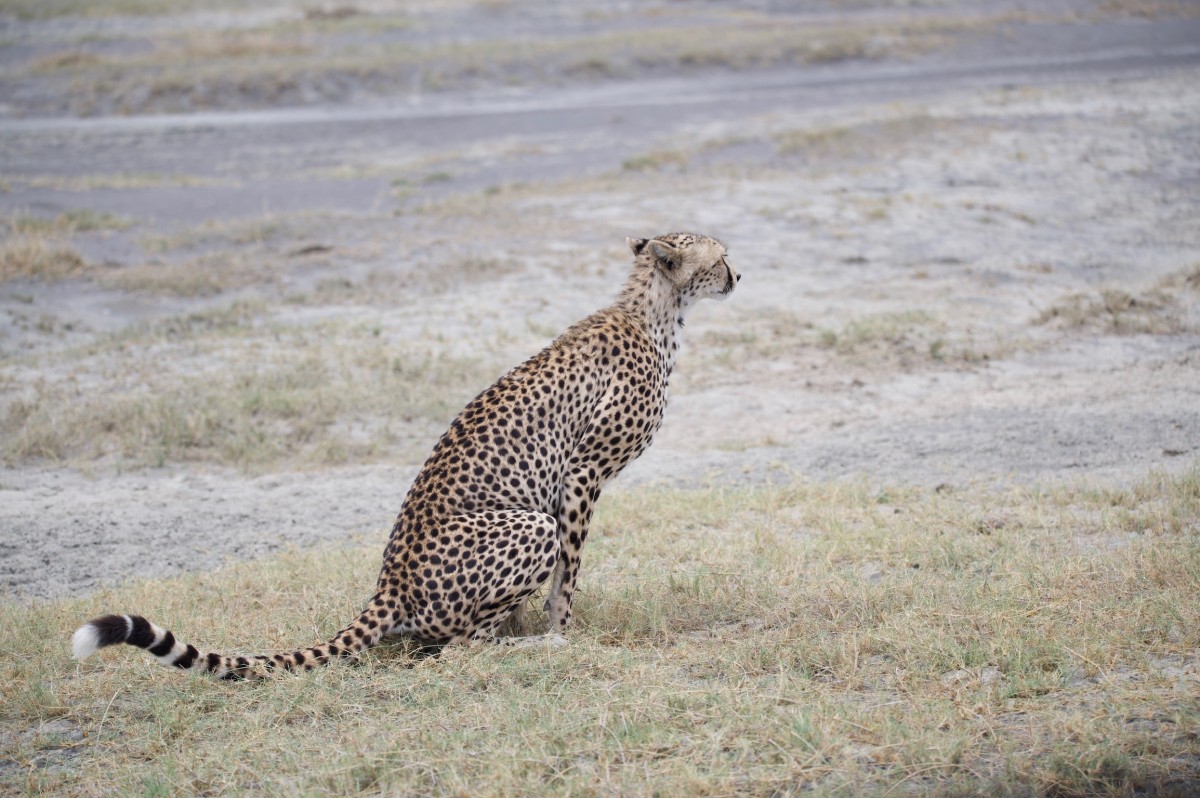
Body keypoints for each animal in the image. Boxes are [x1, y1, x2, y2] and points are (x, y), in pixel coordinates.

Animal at [72, 232, 740, 679]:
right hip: (530, 524)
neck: (653, 311)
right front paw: (560, 633)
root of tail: (388, 583)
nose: (740, 277)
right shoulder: (582, 474)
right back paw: (523, 646)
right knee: (458, 645)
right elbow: (568, 576)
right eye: (720, 256)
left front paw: (543, 625)